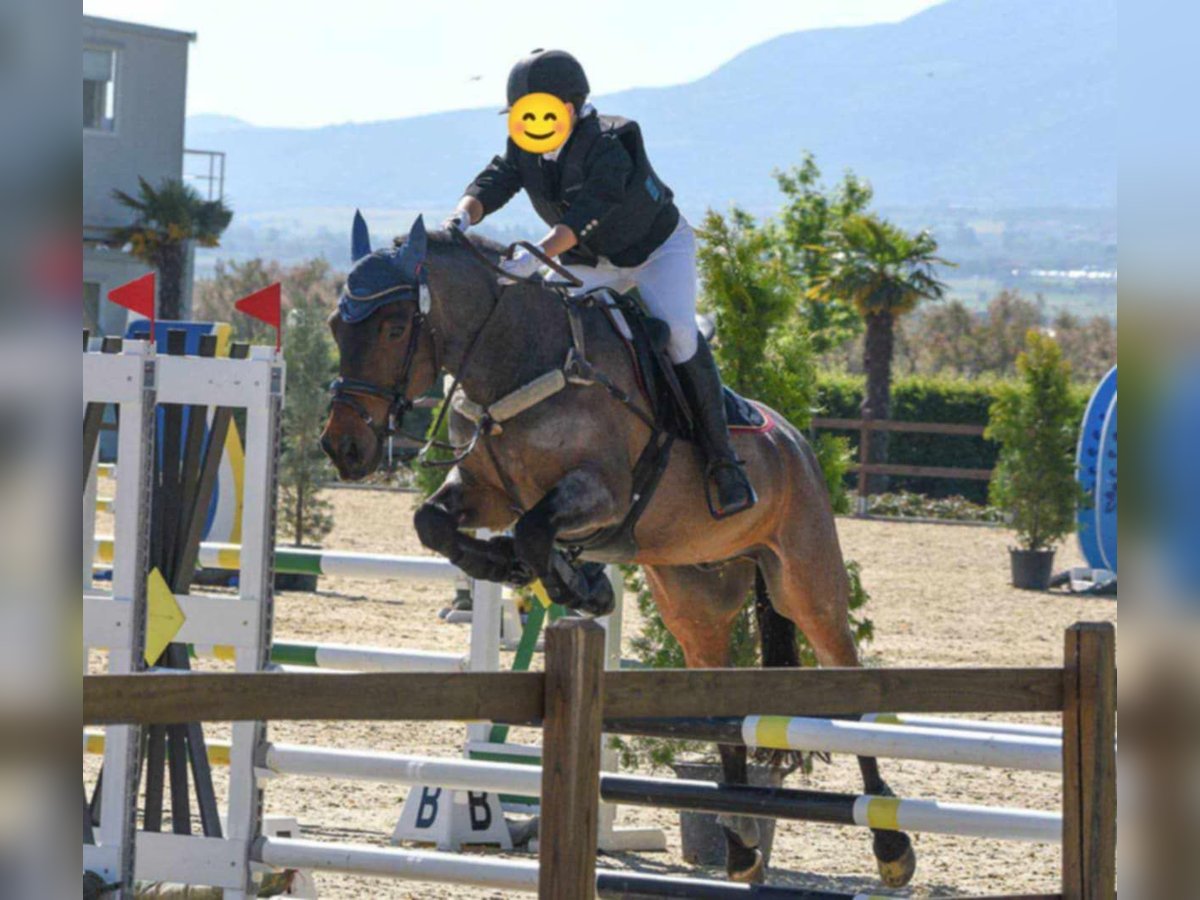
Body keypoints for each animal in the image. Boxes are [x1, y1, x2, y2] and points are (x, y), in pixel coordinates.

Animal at [321, 214, 916, 892]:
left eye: (395, 327)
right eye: (337, 325)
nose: (344, 447)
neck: (516, 360)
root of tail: (795, 438)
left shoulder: (600, 493)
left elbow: (534, 529)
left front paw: (574, 582)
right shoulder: (484, 492)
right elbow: (436, 524)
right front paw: (516, 569)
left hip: (806, 586)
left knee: (851, 691)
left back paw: (891, 845)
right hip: (693, 601)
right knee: (722, 705)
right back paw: (741, 847)